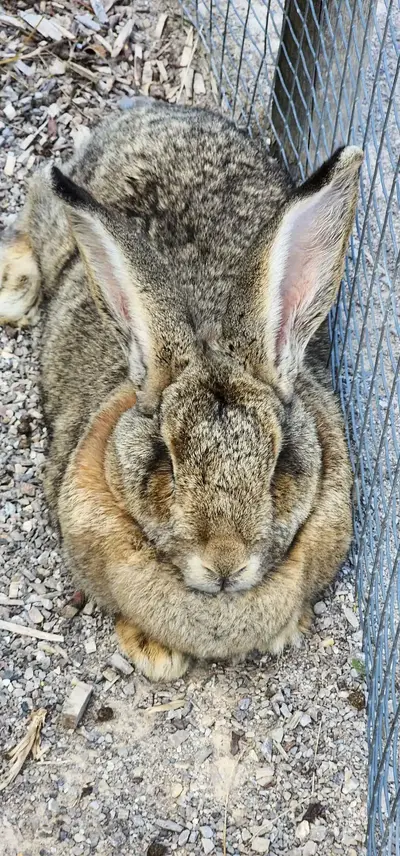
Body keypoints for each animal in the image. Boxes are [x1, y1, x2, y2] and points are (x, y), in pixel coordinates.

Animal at [0, 98, 362, 680]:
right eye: (165, 460)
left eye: (279, 461)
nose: (225, 563)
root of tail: (151, 111)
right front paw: (157, 652)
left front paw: (285, 630)